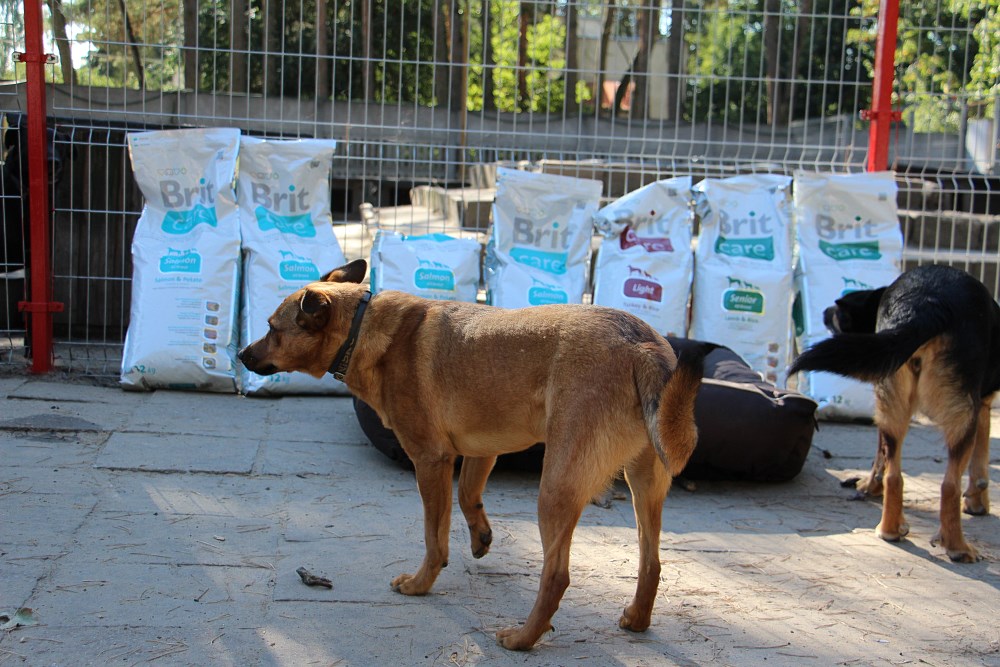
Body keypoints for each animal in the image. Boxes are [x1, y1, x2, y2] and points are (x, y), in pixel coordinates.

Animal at [239, 258, 705, 650]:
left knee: (556, 575)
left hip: (556, 489)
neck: (362, 327)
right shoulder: (482, 451)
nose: (241, 354)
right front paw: (480, 536)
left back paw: (522, 638)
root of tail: (643, 345)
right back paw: (637, 619)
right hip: (643, 485)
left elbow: (434, 537)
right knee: (651, 563)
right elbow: (467, 497)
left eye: (271, 327)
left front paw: (421, 583)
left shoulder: (430, 461)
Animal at [790, 264, 1000, 562]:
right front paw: (977, 502)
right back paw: (958, 547)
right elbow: (980, 467)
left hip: (892, 404)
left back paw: (890, 529)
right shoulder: (982, 405)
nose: (824, 311)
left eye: (839, 312)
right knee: (949, 485)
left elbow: (880, 460)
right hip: (961, 416)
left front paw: (869, 486)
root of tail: (926, 303)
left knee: (894, 475)